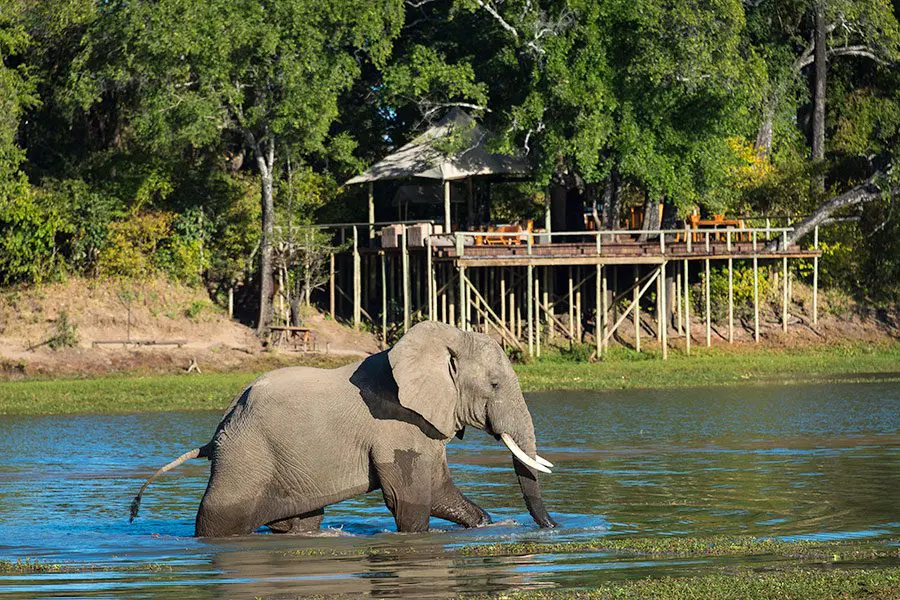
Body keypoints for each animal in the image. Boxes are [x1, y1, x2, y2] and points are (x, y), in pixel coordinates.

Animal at [131, 322, 556, 536]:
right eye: (495, 385)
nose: (553, 528)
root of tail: (217, 430)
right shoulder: (396, 427)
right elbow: (409, 501)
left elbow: (438, 491)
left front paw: (486, 525)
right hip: (244, 457)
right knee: (218, 519)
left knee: (301, 522)